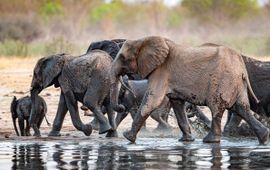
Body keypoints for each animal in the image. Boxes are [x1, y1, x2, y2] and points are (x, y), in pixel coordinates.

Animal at [110, 35, 270, 143]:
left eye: (122, 57)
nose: (120, 106)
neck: (143, 40)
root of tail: (242, 66)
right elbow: (177, 104)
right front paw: (186, 140)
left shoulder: (162, 71)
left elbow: (152, 100)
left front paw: (127, 137)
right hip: (236, 82)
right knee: (241, 108)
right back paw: (264, 137)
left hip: (222, 80)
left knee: (217, 107)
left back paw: (210, 140)